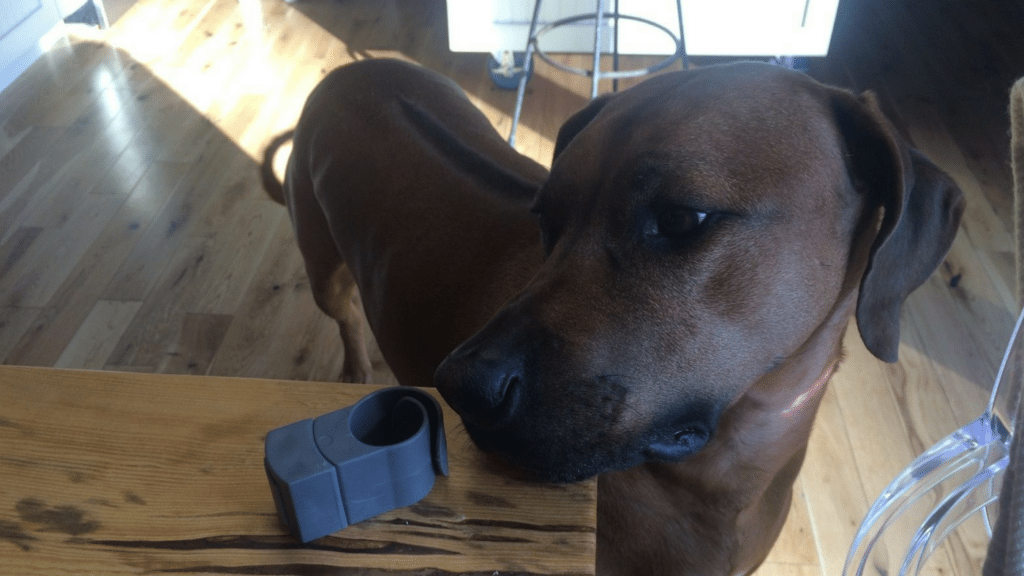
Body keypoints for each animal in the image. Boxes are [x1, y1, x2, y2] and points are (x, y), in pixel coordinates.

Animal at [262, 58, 964, 575]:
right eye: (546, 220)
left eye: (683, 218)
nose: (460, 386)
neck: (724, 464)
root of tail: (352, 67)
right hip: (324, 268)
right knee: (343, 314)